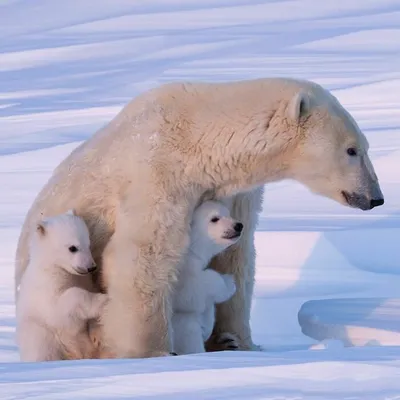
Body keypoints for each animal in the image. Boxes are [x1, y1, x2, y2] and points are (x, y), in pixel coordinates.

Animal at [16, 211, 108, 360]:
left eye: (88, 244)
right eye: (73, 248)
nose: (91, 267)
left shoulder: (84, 280)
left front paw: (98, 332)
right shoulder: (46, 288)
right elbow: (60, 307)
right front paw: (103, 300)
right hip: (42, 334)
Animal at [172, 202, 241, 354]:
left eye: (228, 213)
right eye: (214, 218)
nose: (238, 225)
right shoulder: (181, 272)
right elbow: (193, 290)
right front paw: (229, 283)